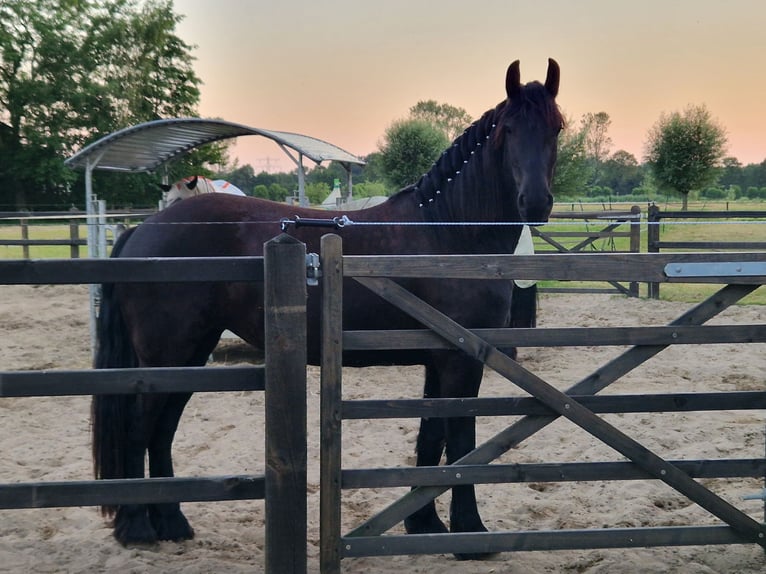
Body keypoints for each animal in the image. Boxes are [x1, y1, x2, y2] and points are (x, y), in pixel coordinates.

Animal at [92, 58, 562, 559]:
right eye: (509, 130)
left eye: (556, 127)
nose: (535, 202)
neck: (447, 234)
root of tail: (141, 231)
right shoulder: (461, 361)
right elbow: (459, 442)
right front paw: (470, 534)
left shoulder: (440, 359)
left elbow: (431, 436)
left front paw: (425, 524)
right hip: (168, 355)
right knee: (140, 429)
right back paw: (136, 527)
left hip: (190, 356)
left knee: (161, 430)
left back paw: (171, 522)